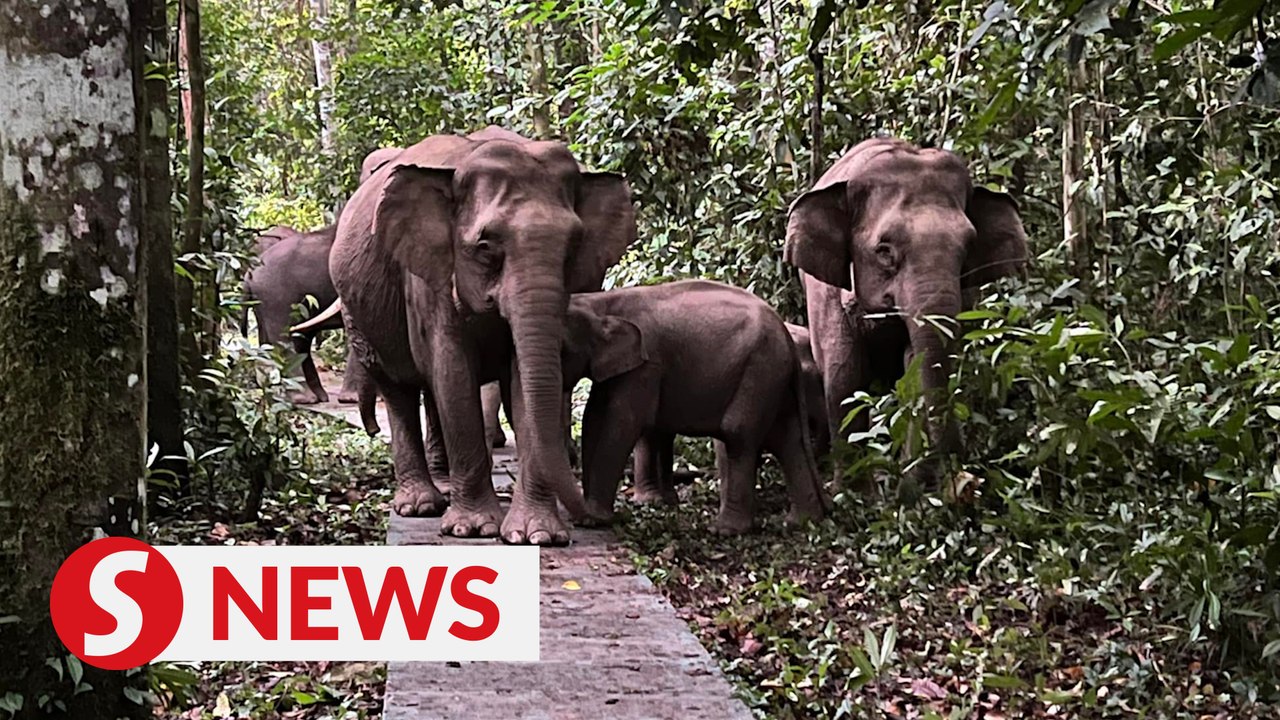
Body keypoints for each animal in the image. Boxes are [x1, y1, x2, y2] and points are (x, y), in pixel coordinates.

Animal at [309, 126, 636, 545]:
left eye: (573, 247)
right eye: (484, 247)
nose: (595, 518)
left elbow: (523, 379)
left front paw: (537, 535)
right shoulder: (428, 276)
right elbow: (452, 370)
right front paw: (473, 529)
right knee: (398, 390)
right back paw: (420, 505)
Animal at [561, 279, 829, 535]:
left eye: (562, 350)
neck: (600, 303)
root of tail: (785, 333)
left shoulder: (647, 366)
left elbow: (622, 422)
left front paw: (595, 518)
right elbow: (594, 416)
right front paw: (591, 516)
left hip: (761, 369)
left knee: (738, 434)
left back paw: (725, 530)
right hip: (773, 375)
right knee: (787, 440)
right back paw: (800, 522)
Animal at [783, 137, 1027, 491]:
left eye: (968, 248)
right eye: (884, 251)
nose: (964, 477)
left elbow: (916, 364)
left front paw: (910, 487)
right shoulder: (825, 291)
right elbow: (844, 373)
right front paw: (852, 493)